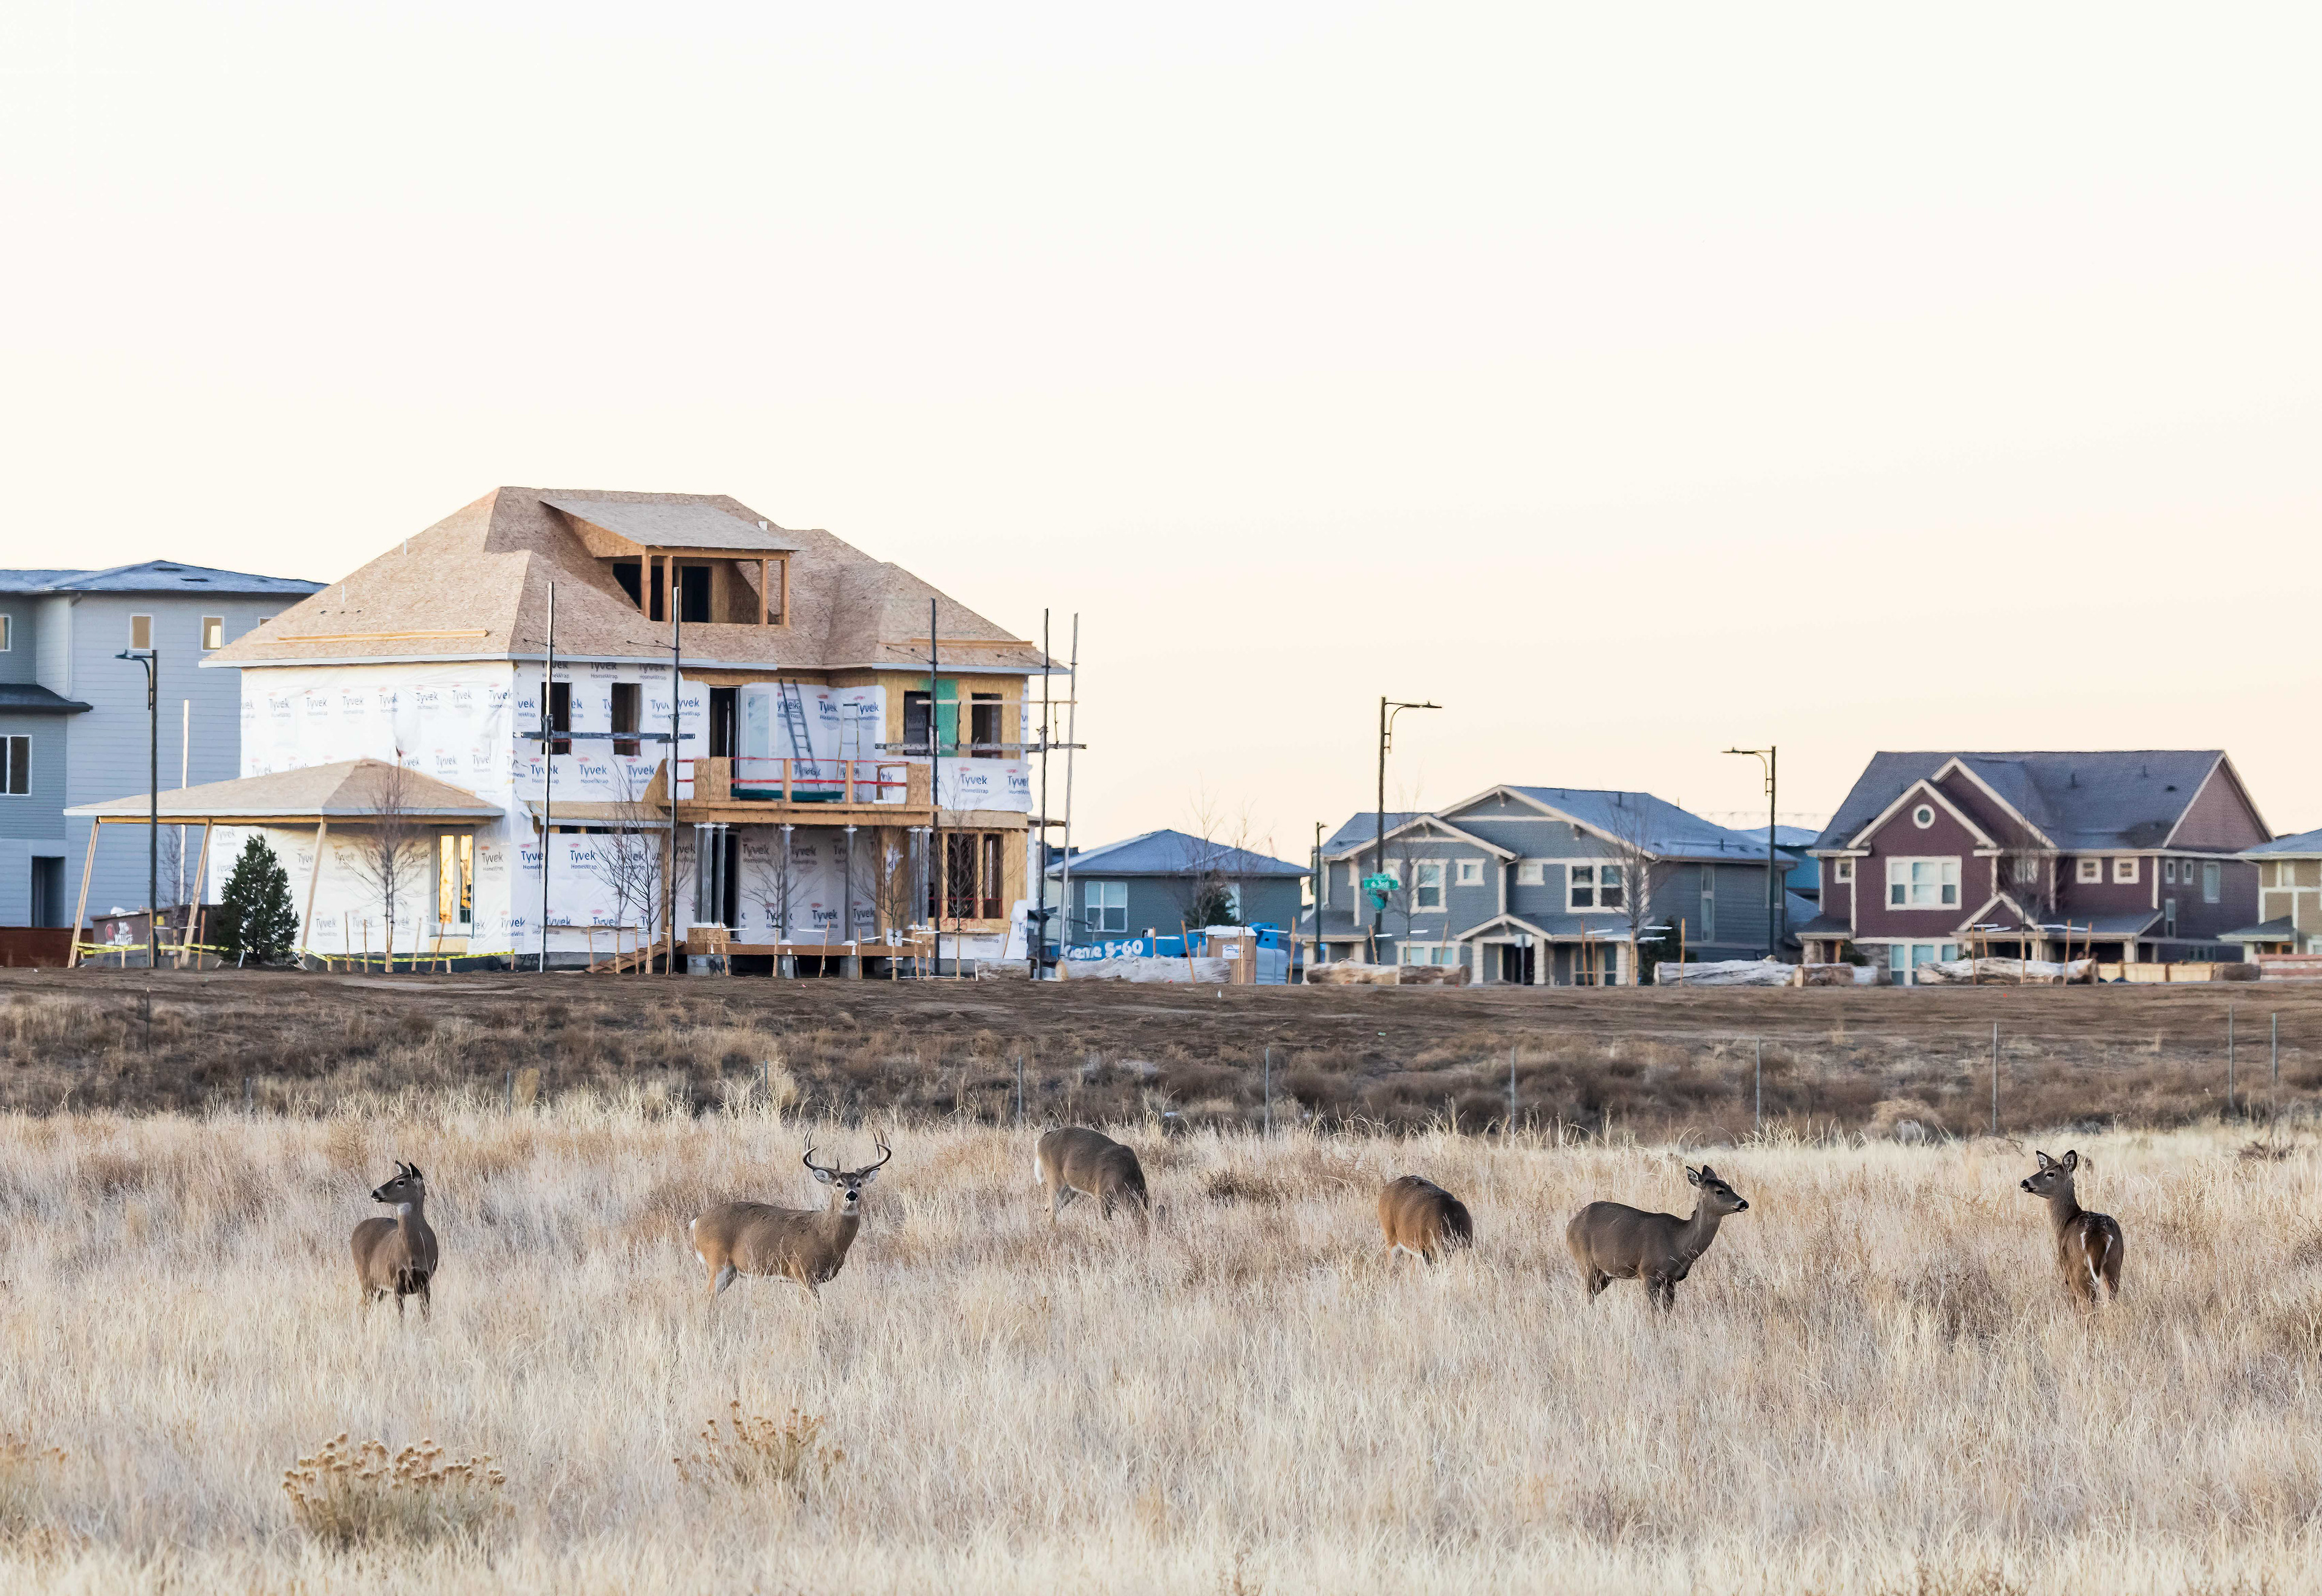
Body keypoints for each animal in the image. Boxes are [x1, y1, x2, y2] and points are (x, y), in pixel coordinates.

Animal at [352, 1162, 439, 1322]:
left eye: (400, 1182)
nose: (375, 1192)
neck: (413, 1253)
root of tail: (358, 1228)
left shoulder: (425, 1281)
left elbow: (426, 1316)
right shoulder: (396, 1281)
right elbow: (401, 1318)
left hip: (379, 1287)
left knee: (364, 1306)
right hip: (366, 1278)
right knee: (363, 1307)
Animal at [688, 1139, 891, 1302]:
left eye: (859, 1184)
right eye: (839, 1184)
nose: (852, 1195)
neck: (826, 1236)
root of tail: (696, 1222)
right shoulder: (802, 1271)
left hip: (730, 1271)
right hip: (718, 1262)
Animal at [1034, 1126, 1150, 1233]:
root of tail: (1040, 1141)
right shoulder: (1102, 1194)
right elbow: (1105, 1221)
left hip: (1071, 1189)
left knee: (1049, 1208)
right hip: (1054, 1178)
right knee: (1051, 1212)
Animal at [1566, 1163, 1749, 1312]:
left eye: (1730, 1186)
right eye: (1719, 1191)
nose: (1743, 1203)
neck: (1678, 1244)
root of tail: (1570, 1225)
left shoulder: (1672, 1279)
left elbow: (1668, 1311)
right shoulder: (1649, 1273)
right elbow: (1653, 1312)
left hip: (1606, 1273)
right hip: (1586, 1262)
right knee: (1587, 1296)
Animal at [2019, 1149, 2123, 1306]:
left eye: (2050, 1173)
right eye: (2042, 1169)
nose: (2024, 1182)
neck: (2065, 1222)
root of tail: (2098, 1234)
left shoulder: (2065, 1270)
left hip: (2078, 1270)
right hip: (2114, 1266)